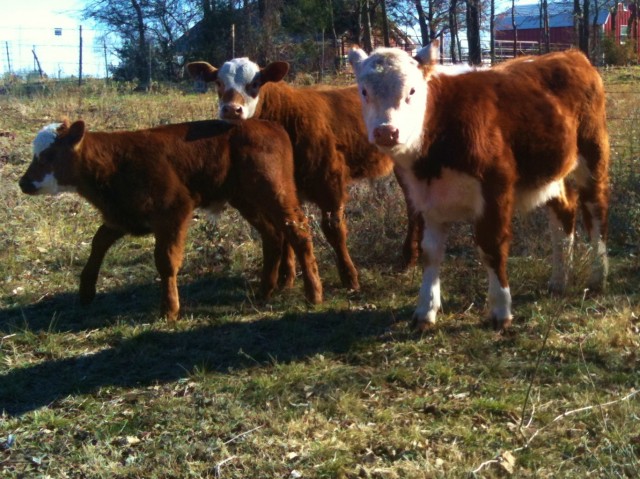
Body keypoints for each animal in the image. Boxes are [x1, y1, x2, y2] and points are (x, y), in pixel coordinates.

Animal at [18, 119, 324, 322]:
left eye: (49, 154)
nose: (24, 183)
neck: (115, 162)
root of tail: (269, 125)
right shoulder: (123, 216)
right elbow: (98, 243)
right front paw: (86, 291)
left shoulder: (174, 210)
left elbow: (165, 260)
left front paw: (169, 309)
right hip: (247, 199)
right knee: (273, 234)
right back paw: (266, 290)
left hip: (274, 192)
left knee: (297, 231)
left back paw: (314, 294)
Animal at [185, 60, 424, 292]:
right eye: (218, 82)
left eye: (255, 83)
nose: (231, 110)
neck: (286, 116)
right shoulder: (286, 188)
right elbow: (286, 229)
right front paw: (286, 278)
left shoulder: (330, 181)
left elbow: (334, 229)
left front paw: (349, 278)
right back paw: (413, 255)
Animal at [350, 47, 608, 330]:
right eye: (364, 91)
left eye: (412, 90)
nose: (386, 132)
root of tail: (570, 54)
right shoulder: (426, 200)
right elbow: (430, 253)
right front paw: (425, 311)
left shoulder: (495, 191)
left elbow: (492, 247)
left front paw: (500, 311)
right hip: (550, 173)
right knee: (564, 212)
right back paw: (559, 281)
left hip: (593, 157)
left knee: (595, 213)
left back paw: (598, 276)